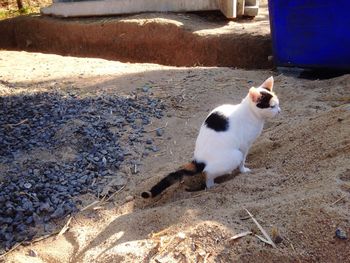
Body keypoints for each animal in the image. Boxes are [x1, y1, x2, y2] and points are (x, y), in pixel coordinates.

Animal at [141, 77, 280, 199]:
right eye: (272, 106)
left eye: (278, 104)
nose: (279, 111)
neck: (250, 114)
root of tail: (199, 160)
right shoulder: (245, 145)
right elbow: (243, 160)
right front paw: (243, 170)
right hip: (234, 155)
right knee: (208, 175)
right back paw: (214, 185)